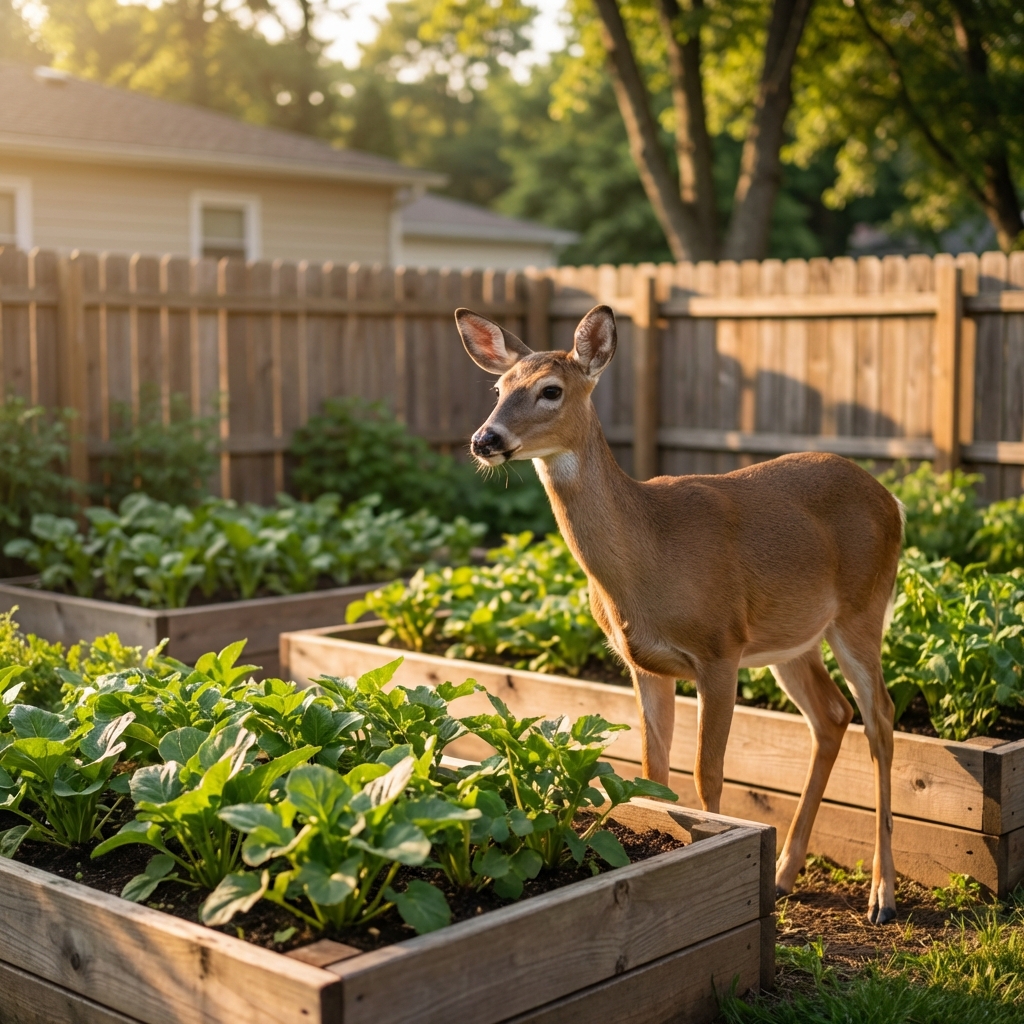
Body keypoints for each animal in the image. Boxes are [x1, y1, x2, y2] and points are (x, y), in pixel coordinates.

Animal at [455, 303, 905, 924]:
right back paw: (786, 872)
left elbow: (705, 773)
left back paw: (882, 895)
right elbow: (652, 774)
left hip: (862, 609)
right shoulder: (643, 663)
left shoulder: (719, 648)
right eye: (498, 388)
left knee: (880, 717)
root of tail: (894, 502)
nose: (485, 438)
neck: (647, 558)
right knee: (832, 715)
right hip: (790, 638)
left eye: (550, 390)